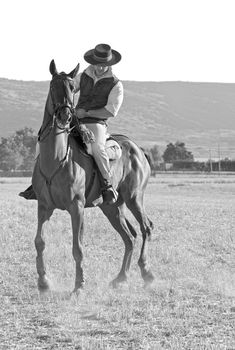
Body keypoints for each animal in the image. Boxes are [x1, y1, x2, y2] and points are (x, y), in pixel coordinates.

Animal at [32, 60, 155, 292]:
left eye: (72, 87)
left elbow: (77, 247)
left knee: (146, 228)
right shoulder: (43, 207)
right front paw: (44, 282)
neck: (56, 159)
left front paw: (79, 285)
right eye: (53, 86)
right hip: (112, 207)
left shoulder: (77, 207)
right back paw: (121, 277)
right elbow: (39, 241)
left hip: (134, 198)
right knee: (130, 237)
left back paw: (146, 272)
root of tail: (138, 149)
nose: (65, 116)